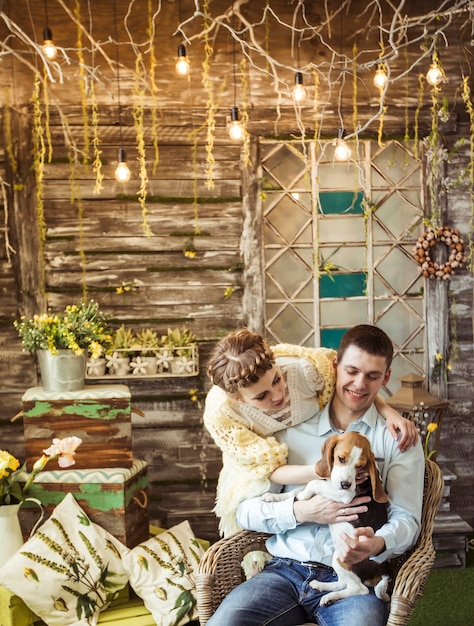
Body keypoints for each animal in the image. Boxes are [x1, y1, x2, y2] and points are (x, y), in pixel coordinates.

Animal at [262, 432, 388, 604]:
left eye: (360, 466)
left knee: (359, 589)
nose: (345, 484)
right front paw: (275, 497)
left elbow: (312, 483)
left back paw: (330, 597)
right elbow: (299, 489)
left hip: (341, 557)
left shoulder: (345, 495)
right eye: (341, 459)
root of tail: (378, 571)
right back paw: (323, 587)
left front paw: (303, 496)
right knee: (343, 583)